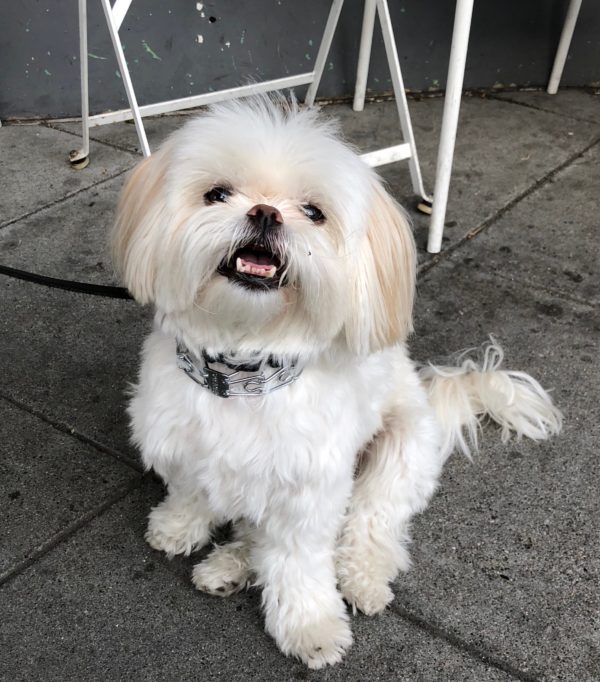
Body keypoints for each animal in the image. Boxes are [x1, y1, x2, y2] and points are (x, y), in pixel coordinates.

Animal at [112, 98, 564, 668]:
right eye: (216, 194)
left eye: (313, 212)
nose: (265, 213)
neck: (243, 371)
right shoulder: (181, 445)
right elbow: (193, 492)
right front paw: (177, 526)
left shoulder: (311, 491)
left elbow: (301, 563)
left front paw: (312, 627)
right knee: (258, 532)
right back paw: (226, 567)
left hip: (397, 458)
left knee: (370, 528)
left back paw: (361, 579)